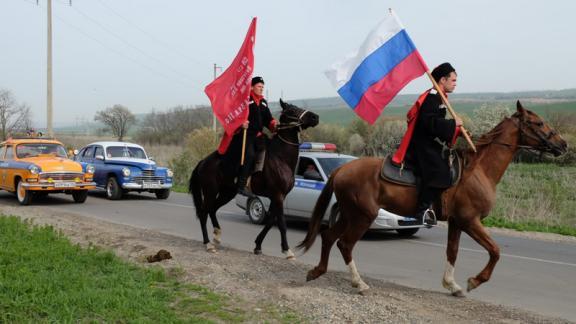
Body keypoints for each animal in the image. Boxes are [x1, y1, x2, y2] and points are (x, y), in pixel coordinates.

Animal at [190, 100, 320, 256]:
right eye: (293, 110)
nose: (315, 117)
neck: (280, 157)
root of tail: (203, 162)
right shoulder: (278, 195)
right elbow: (281, 223)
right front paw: (287, 250)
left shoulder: (277, 197)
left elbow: (270, 221)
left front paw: (258, 245)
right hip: (210, 191)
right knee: (204, 212)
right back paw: (208, 243)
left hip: (227, 192)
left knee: (213, 209)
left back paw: (217, 235)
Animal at [300, 102, 568, 296]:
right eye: (538, 122)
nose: (563, 144)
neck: (478, 170)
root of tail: (341, 169)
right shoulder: (470, 221)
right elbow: (495, 250)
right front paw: (474, 281)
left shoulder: (457, 222)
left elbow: (452, 251)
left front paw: (452, 285)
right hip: (362, 216)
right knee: (345, 244)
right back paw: (359, 283)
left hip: (349, 214)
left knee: (328, 237)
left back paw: (317, 272)